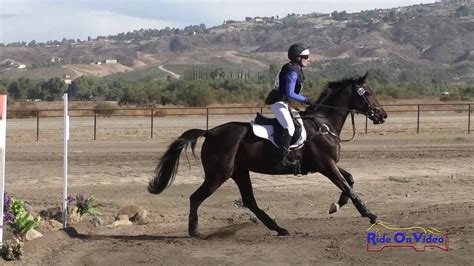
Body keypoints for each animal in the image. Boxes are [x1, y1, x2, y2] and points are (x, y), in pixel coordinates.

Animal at [148, 73, 386, 237]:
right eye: (368, 92)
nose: (382, 115)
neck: (324, 123)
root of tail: (210, 132)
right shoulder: (325, 165)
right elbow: (347, 186)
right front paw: (370, 215)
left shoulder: (327, 165)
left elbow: (350, 180)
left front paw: (336, 205)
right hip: (218, 174)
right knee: (196, 197)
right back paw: (194, 231)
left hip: (239, 172)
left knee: (249, 201)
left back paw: (278, 228)